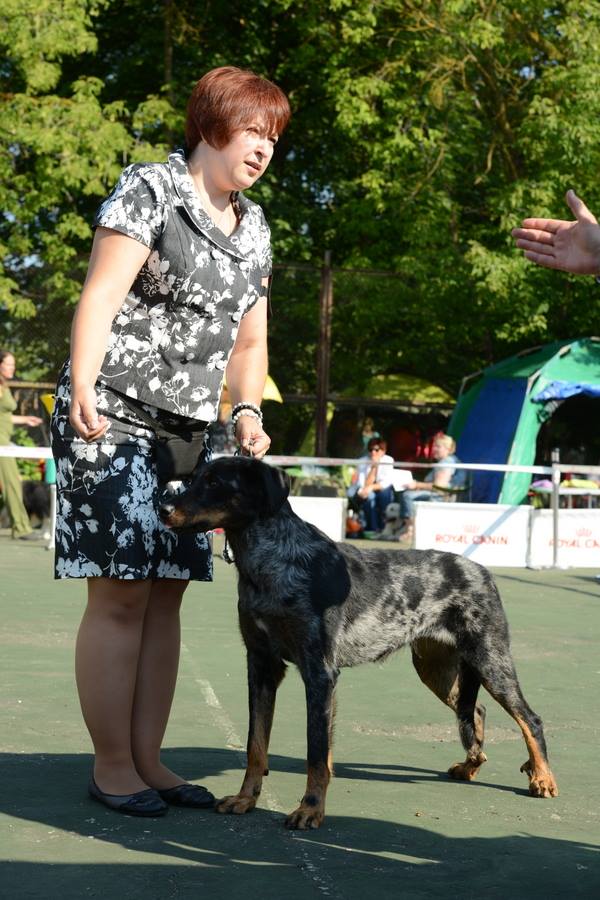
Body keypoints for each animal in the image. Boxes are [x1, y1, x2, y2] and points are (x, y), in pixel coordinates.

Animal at [159, 458, 556, 828]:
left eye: (215, 483)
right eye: (194, 478)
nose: (162, 508)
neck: (270, 565)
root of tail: (483, 571)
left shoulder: (319, 672)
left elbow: (316, 752)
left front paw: (310, 809)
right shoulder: (261, 665)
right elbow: (256, 744)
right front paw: (246, 799)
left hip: (490, 658)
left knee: (529, 718)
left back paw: (542, 778)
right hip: (436, 669)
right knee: (475, 710)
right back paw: (470, 765)